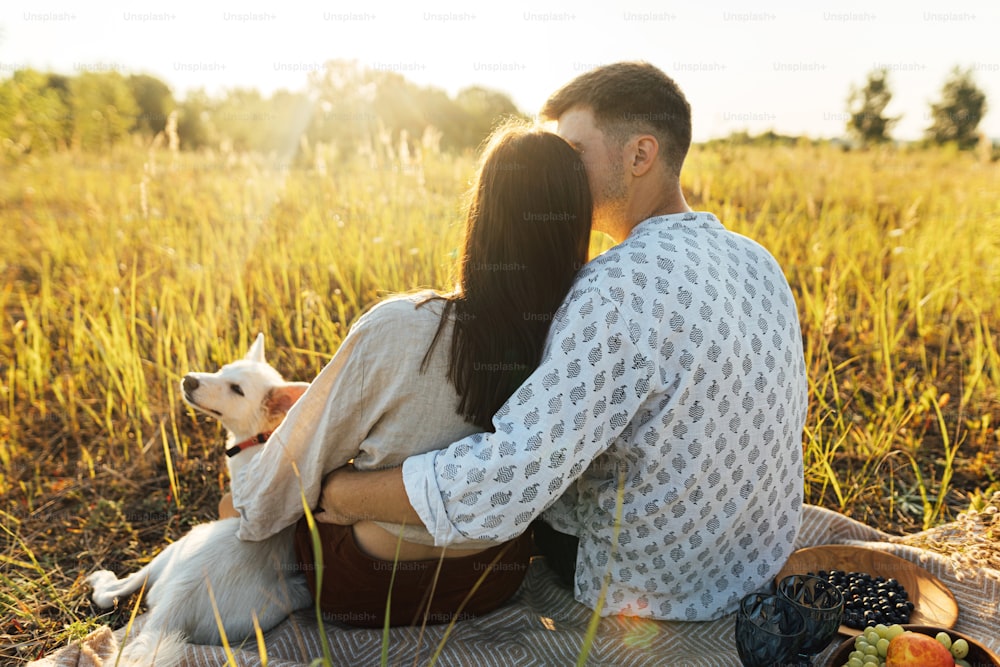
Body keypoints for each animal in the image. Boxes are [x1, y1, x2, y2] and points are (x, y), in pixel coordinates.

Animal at [89, 336, 312, 664]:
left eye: (237, 389)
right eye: (221, 370)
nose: (189, 379)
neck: (261, 435)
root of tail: (172, 609)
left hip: (180, 544)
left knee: (112, 591)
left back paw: (100, 579)